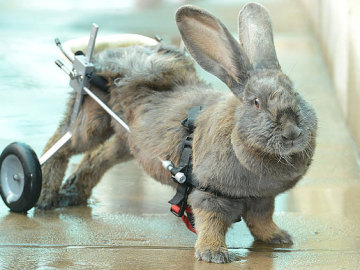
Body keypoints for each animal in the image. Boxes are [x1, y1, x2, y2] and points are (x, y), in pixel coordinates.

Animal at [37, 2, 318, 264]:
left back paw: (72, 195)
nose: (292, 131)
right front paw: (213, 254)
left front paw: (279, 238)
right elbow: (212, 223)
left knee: (99, 156)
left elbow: (261, 221)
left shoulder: (263, 199)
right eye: (257, 103)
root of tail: (99, 60)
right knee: (60, 144)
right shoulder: (209, 195)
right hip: (94, 117)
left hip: (130, 141)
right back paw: (45, 197)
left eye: (295, 93)